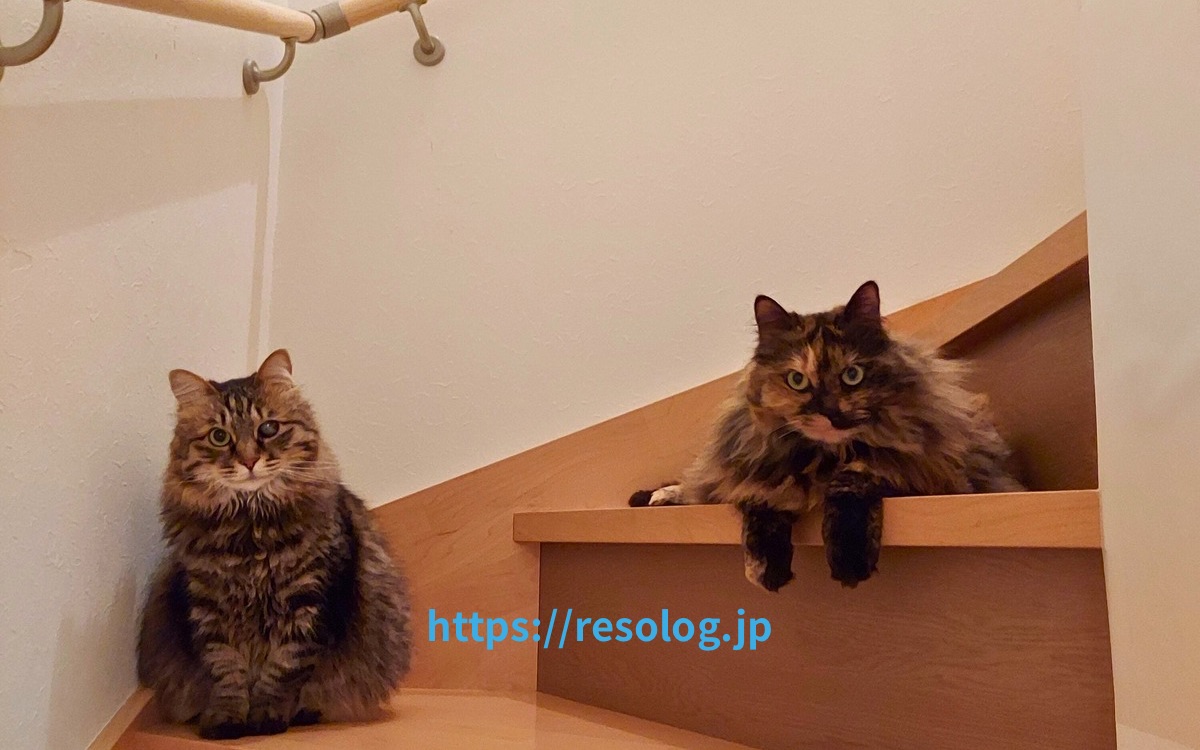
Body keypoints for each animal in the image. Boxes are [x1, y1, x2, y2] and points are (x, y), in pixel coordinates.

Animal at [137, 350, 412, 739]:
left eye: (268, 429)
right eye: (219, 436)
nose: (249, 460)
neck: (250, 531)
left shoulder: (310, 601)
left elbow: (283, 671)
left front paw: (266, 717)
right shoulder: (209, 607)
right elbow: (225, 671)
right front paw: (227, 718)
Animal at [630, 282, 1022, 590]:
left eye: (852, 375)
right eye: (797, 380)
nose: (829, 412)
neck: (822, 460)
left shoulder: (922, 471)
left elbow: (855, 478)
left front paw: (849, 561)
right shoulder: (762, 471)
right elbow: (762, 505)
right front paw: (767, 570)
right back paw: (654, 497)